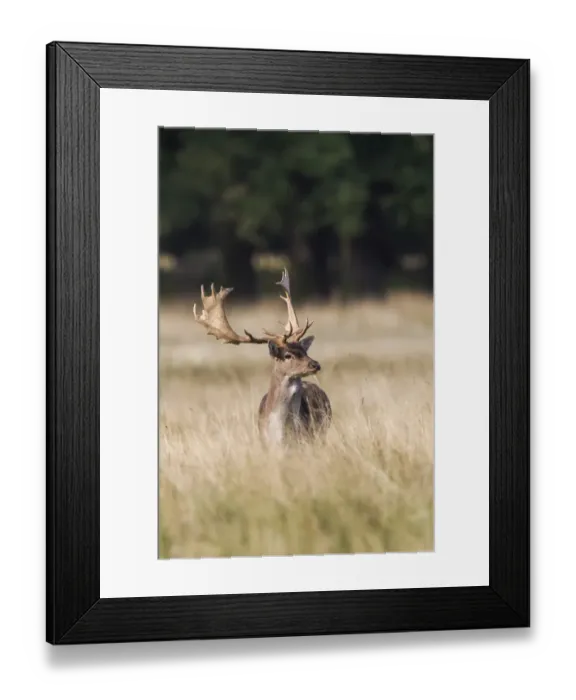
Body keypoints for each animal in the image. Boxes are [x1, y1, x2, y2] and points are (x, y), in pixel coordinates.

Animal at [192, 268, 332, 447]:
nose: (315, 364)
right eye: (288, 355)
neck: (281, 433)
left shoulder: (305, 439)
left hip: (322, 430)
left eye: (304, 350)